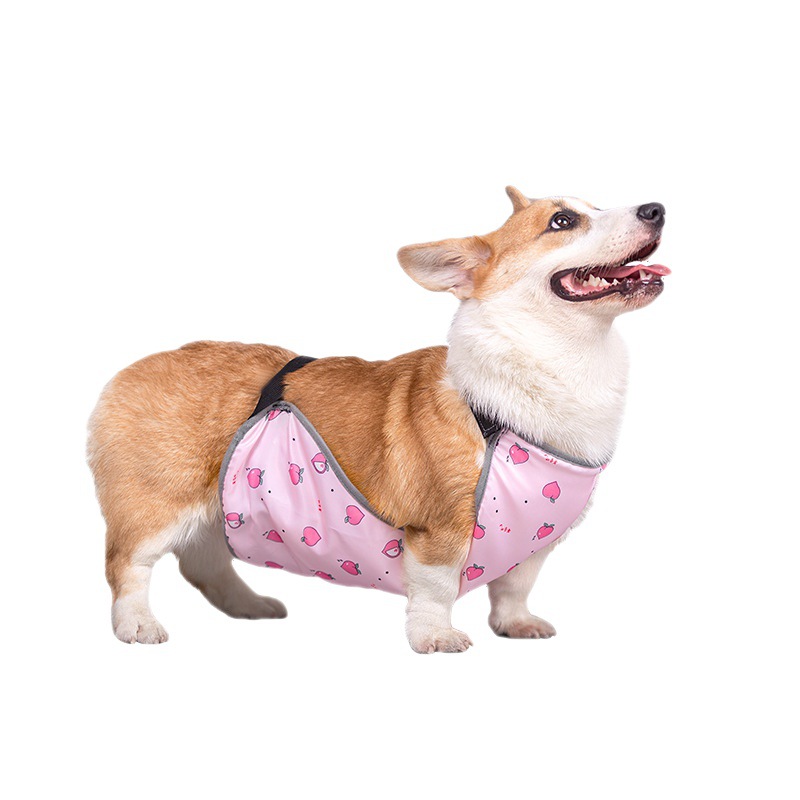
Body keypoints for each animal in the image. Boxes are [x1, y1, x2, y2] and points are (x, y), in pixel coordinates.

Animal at [87, 187, 668, 653]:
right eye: (562, 221)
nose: (656, 209)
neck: (561, 358)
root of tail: (131, 369)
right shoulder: (439, 528)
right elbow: (437, 588)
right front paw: (436, 637)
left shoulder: (534, 545)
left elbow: (514, 588)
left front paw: (517, 625)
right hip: (157, 506)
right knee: (127, 566)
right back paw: (137, 625)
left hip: (220, 509)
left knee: (204, 562)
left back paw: (248, 606)